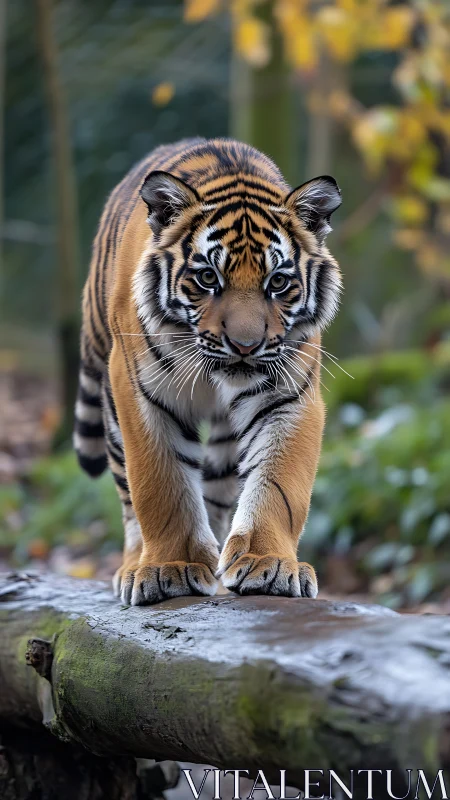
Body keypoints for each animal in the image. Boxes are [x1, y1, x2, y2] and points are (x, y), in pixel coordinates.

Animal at [74, 137, 342, 606]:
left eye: (277, 282)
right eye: (207, 278)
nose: (246, 346)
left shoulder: (288, 396)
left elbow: (279, 484)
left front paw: (268, 563)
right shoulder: (141, 392)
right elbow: (160, 486)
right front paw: (171, 568)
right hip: (109, 404)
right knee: (127, 494)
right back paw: (133, 565)